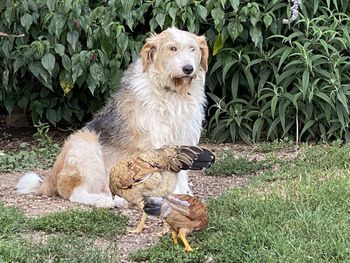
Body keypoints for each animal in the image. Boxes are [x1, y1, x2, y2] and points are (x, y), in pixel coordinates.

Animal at [16, 27, 208, 209]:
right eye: (172, 48)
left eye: (192, 49)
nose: (188, 69)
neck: (172, 92)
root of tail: (51, 178)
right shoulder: (157, 141)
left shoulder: (184, 139)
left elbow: (181, 172)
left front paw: (184, 195)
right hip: (85, 143)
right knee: (74, 194)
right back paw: (103, 201)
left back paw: (120, 200)